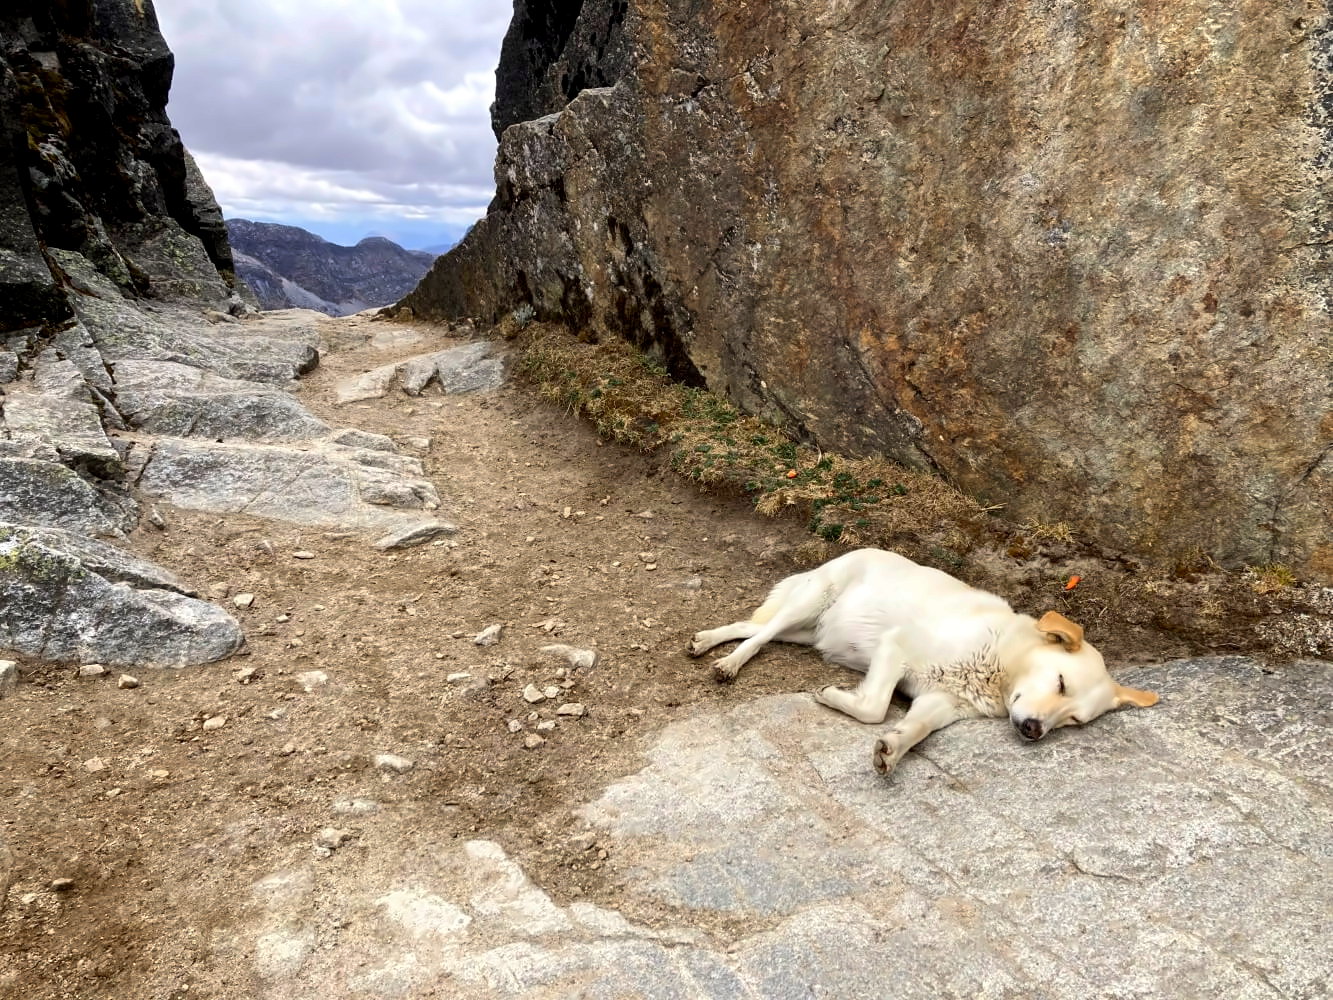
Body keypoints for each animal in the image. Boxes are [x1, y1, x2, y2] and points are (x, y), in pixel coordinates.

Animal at [688, 548, 1158, 775]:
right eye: (1060, 682)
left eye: (1074, 721)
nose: (1033, 731)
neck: (999, 662)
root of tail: (861, 548)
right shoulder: (896, 647)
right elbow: (875, 708)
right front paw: (832, 696)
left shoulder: (939, 703)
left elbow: (914, 730)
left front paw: (892, 751)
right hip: (810, 602)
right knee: (760, 635)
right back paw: (729, 663)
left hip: (807, 631)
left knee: (749, 626)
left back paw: (705, 640)